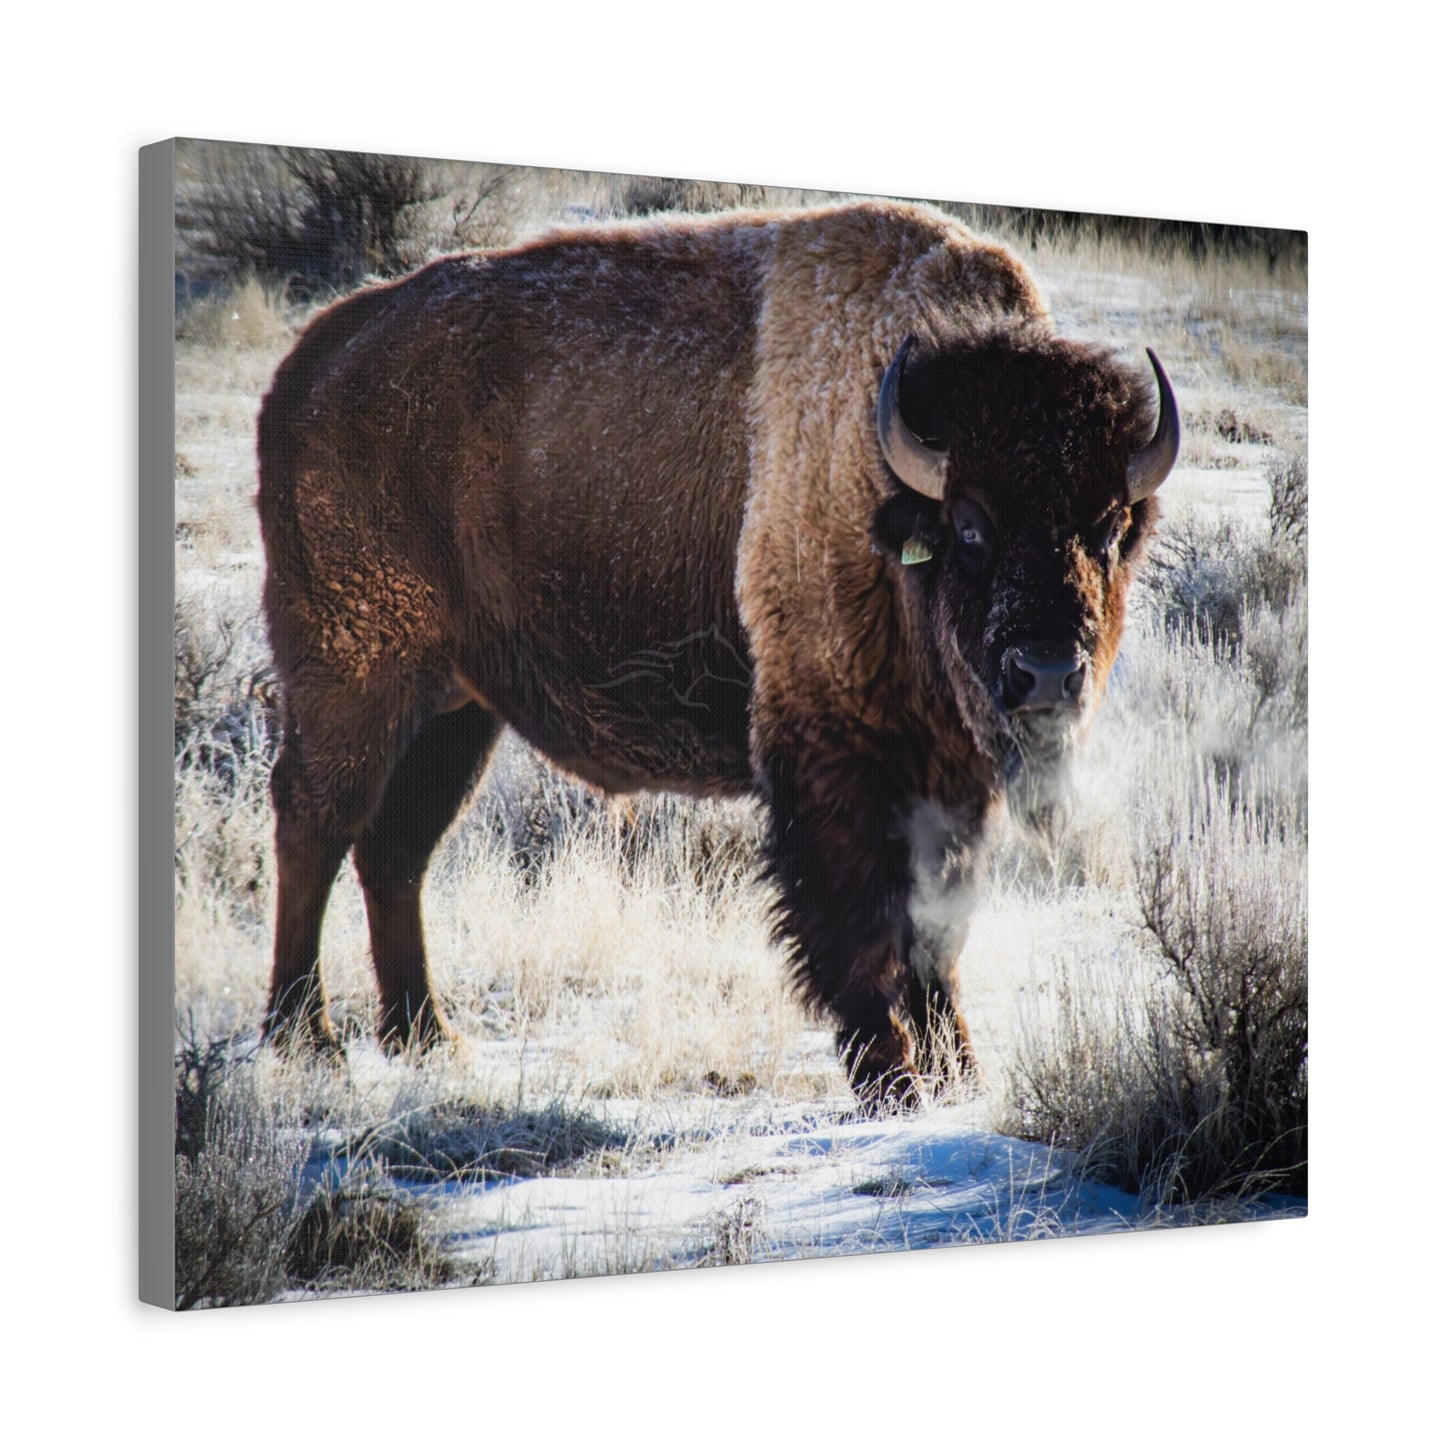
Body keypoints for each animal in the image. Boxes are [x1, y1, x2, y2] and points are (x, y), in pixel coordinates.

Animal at [256, 199, 1178, 1103]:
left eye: (1106, 529)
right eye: (971, 525)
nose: (1045, 672)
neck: (886, 482)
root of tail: (308, 363)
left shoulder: (948, 775)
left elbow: (936, 931)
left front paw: (959, 1075)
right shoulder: (833, 755)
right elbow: (859, 925)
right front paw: (893, 1082)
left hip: (455, 710)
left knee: (395, 850)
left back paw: (425, 1036)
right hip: (353, 676)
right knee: (316, 823)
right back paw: (307, 1037)